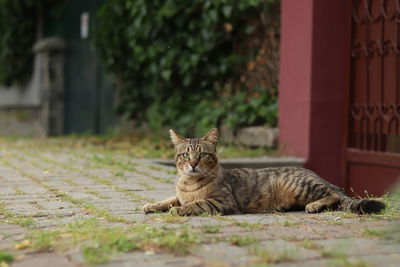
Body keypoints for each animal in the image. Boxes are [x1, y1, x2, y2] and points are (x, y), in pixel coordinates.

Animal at [142, 129, 386, 217]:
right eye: (185, 155)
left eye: (202, 155)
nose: (192, 164)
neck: (189, 183)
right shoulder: (179, 195)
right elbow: (169, 199)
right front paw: (152, 205)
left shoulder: (222, 201)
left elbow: (195, 204)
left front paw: (179, 210)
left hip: (301, 186)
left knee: (335, 195)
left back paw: (315, 205)